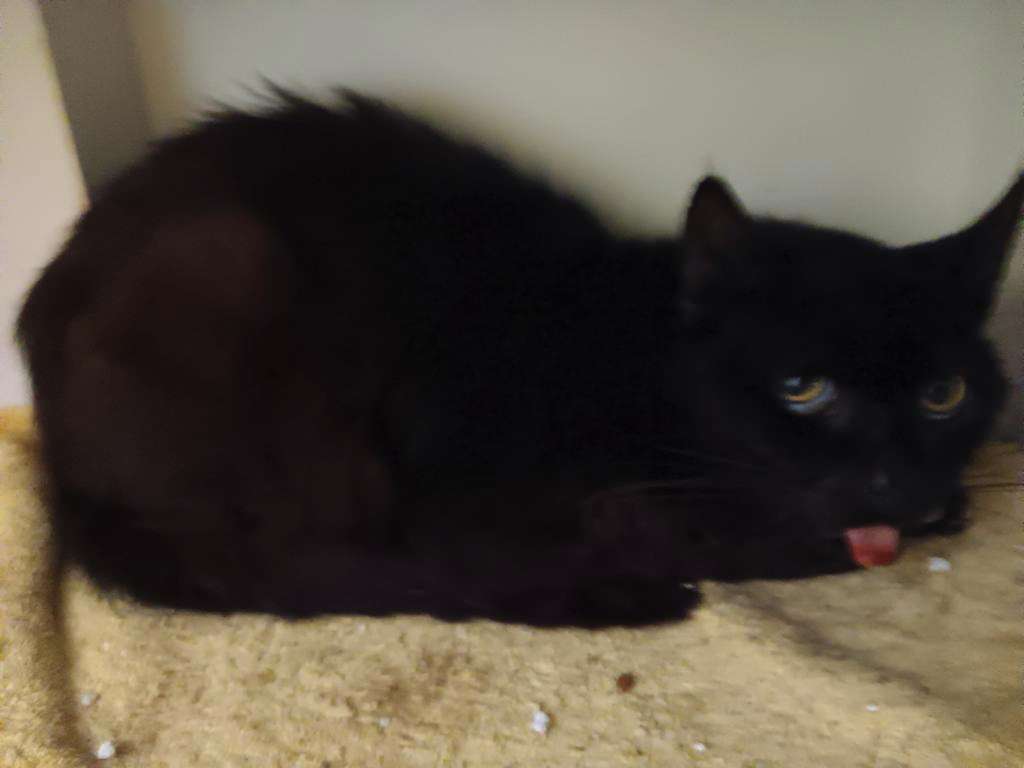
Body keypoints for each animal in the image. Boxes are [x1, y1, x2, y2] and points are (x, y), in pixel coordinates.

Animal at [16, 90, 1022, 627]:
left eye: (944, 393)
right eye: (802, 388)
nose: (897, 481)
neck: (644, 370)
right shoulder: (468, 498)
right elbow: (684, 532)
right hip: (235, 261)